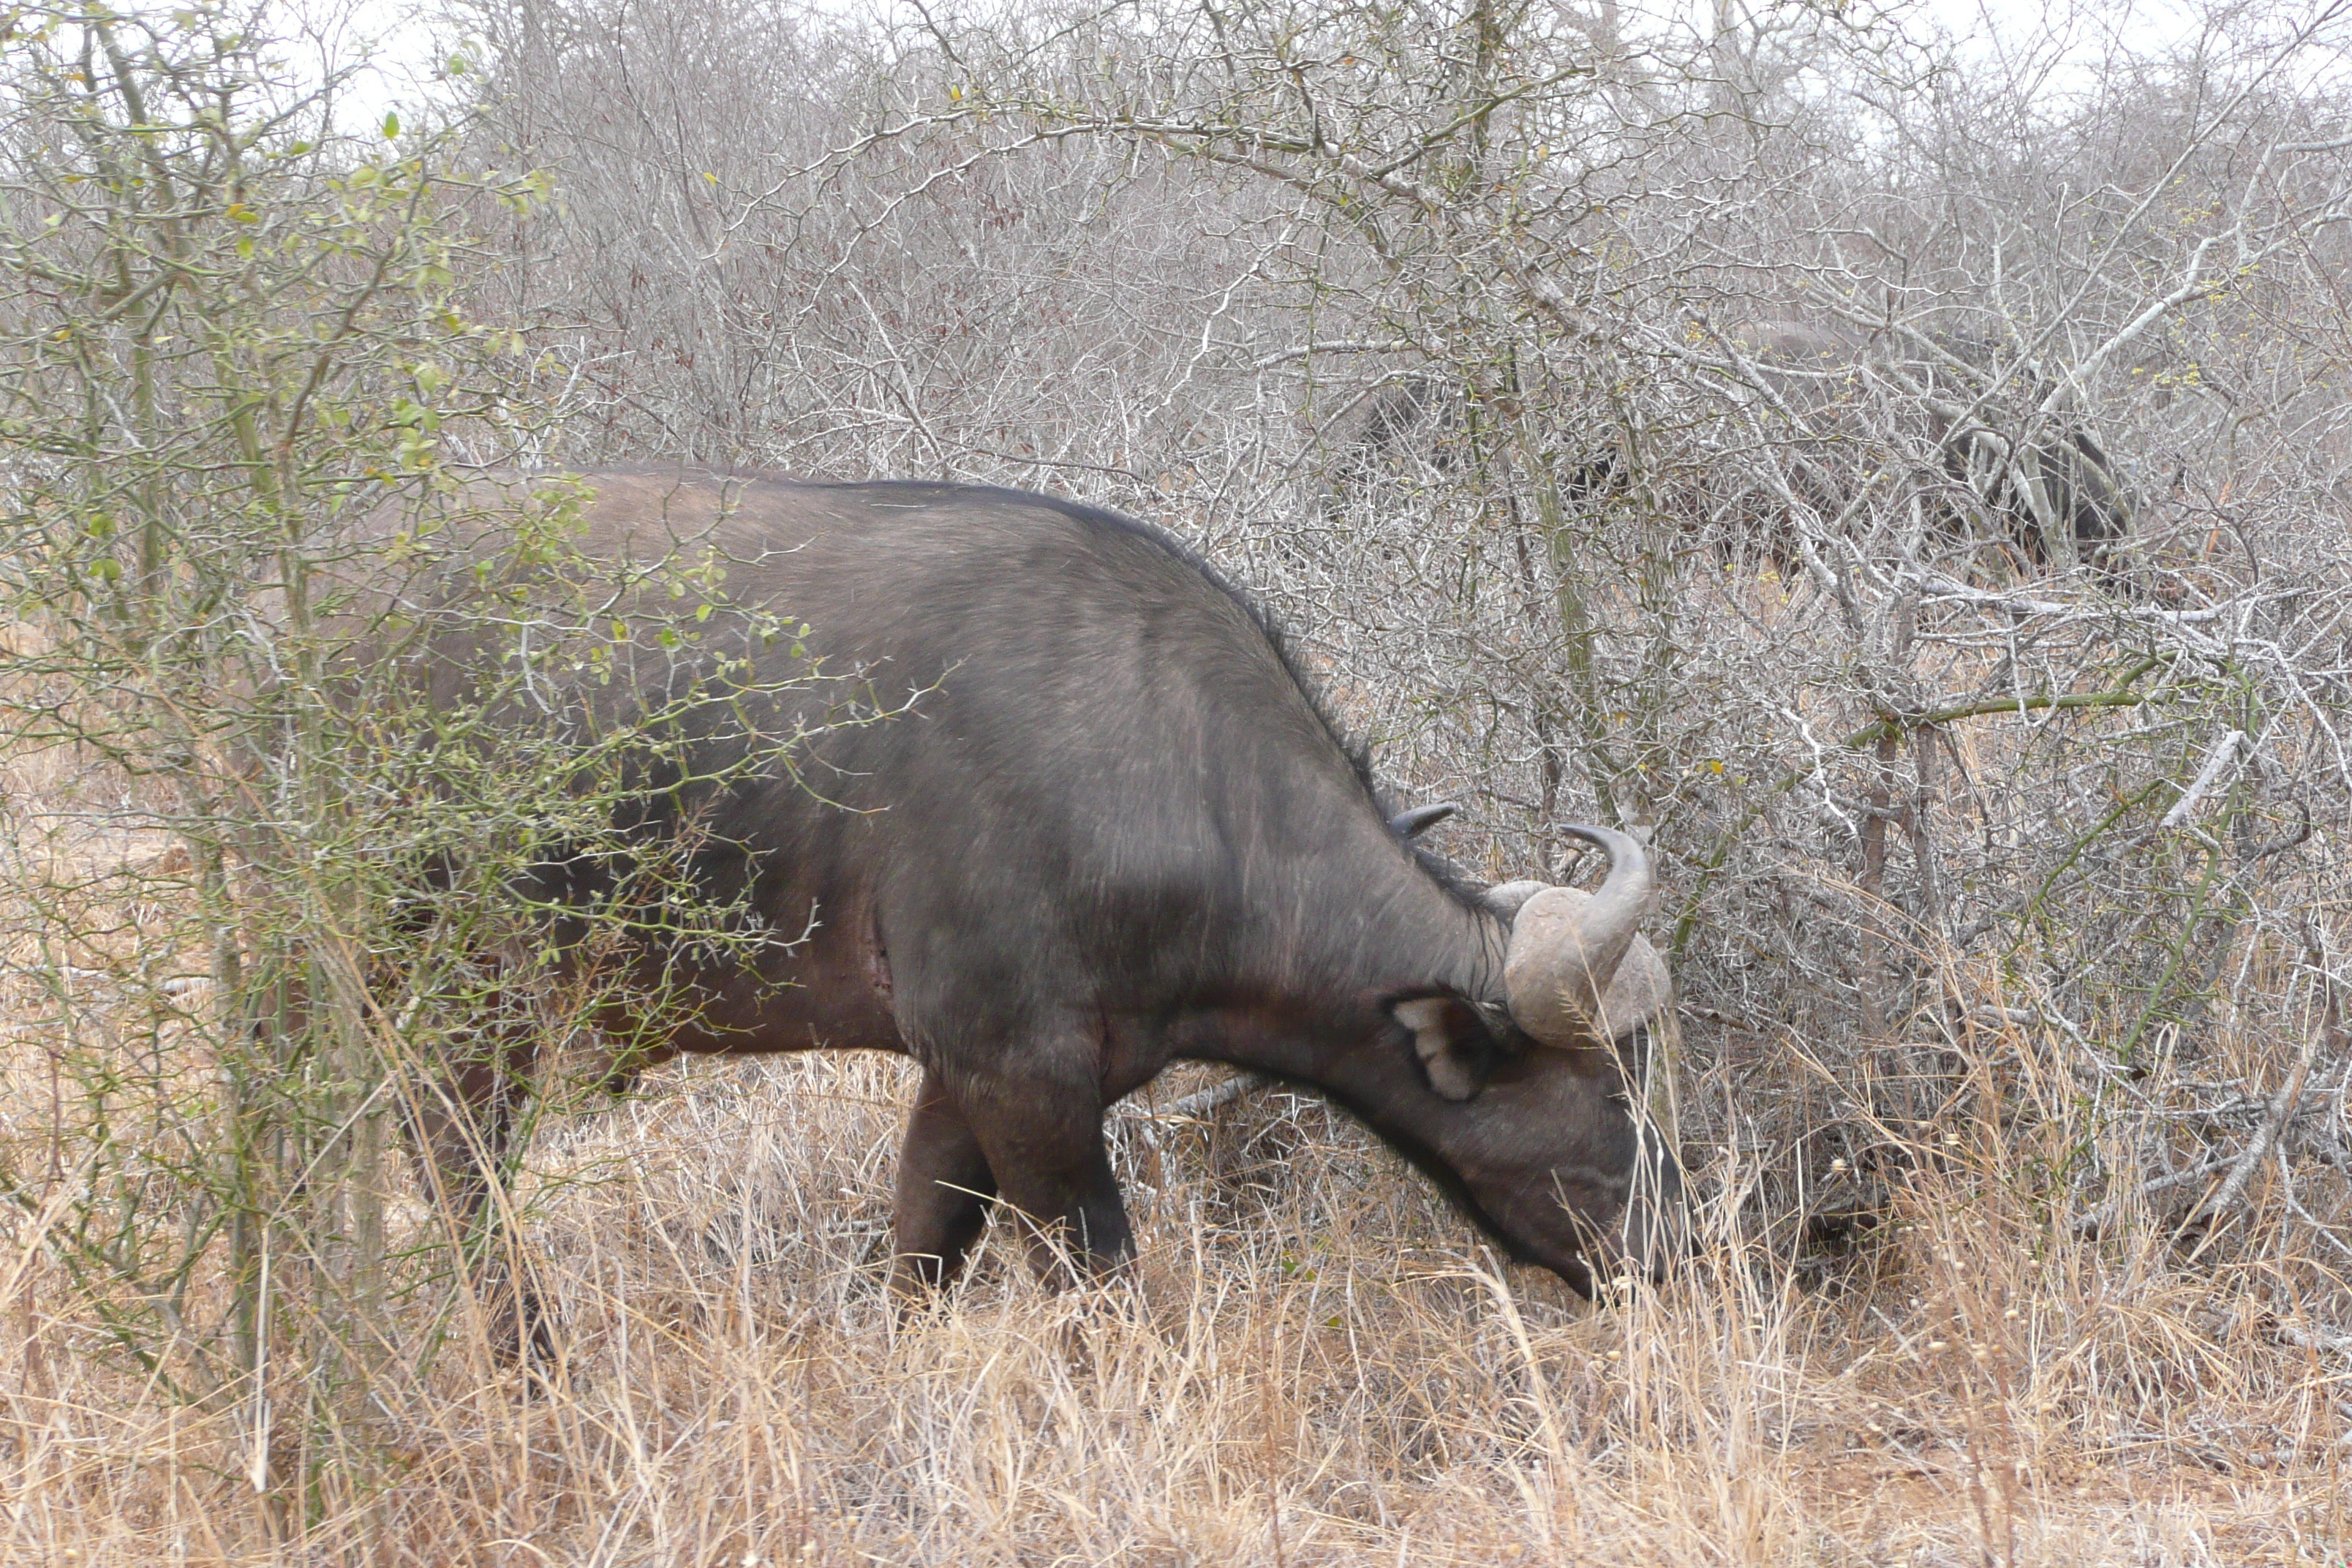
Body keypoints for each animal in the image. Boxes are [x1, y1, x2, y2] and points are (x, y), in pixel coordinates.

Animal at [404, 475, 1693, 1316]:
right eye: (1609, 1095)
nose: (1677, 1246)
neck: (1178, 775)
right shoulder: (1023, 1082)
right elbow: (1099, 1286)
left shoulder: (967, 1085)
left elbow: (923, 1249)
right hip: (464, 1014)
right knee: (463, 1190)